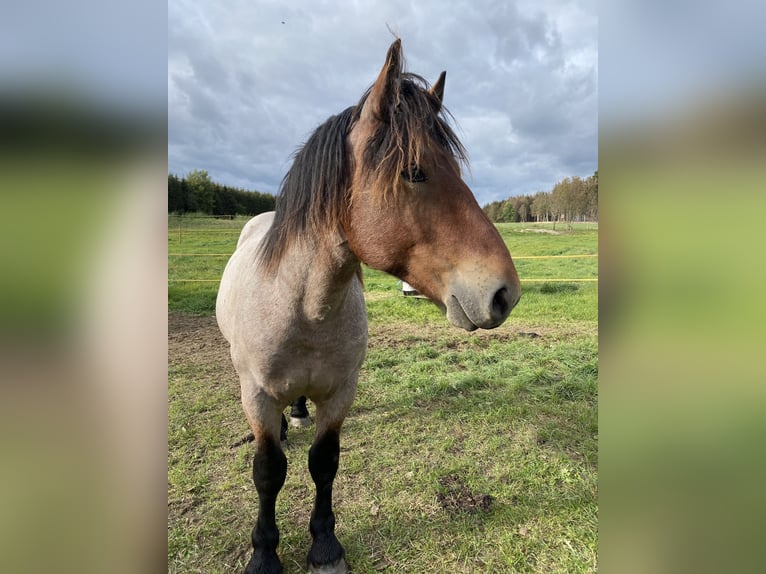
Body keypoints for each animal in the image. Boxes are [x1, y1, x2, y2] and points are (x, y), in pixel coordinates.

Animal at [219, 40, 524, 574]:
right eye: (414, 172)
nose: (504, 293)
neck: (304, 309)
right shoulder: (255, 396)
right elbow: (268, 471)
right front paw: (264, 553)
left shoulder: (341, 393)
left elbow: (324, 463)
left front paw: (324, 544)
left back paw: (297, 413)